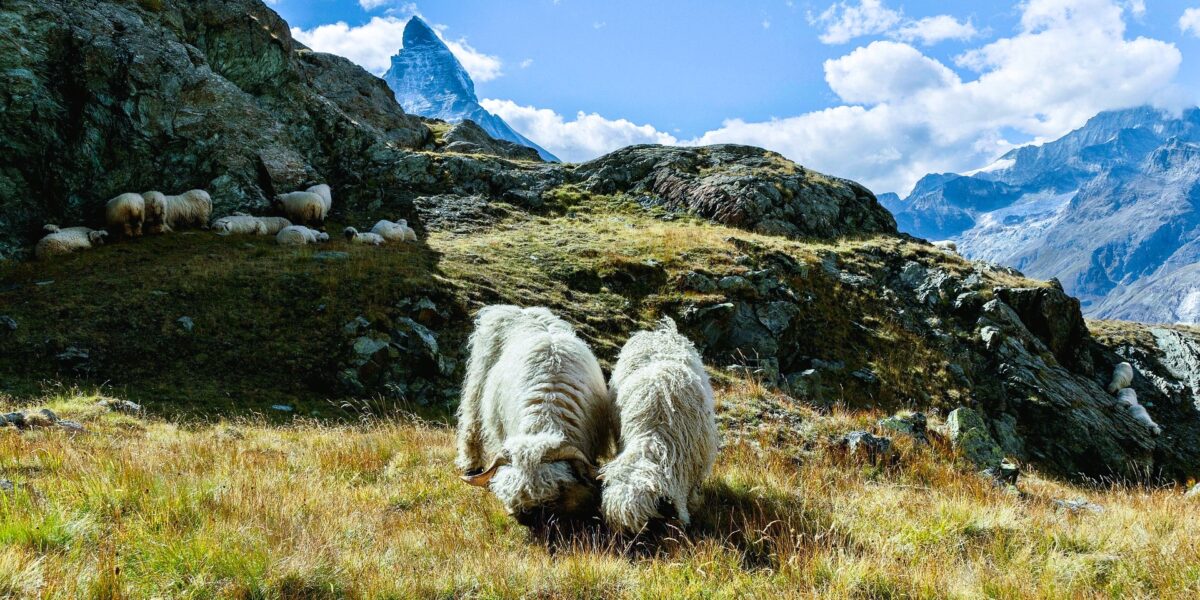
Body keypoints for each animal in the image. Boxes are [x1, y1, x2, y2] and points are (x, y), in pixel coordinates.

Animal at [456, 305, 614, 517]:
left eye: (555, 493)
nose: (528, 516)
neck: (547, 408)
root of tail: (518, 309)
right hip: (478, 381)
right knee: (471, 423)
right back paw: (471, 465)